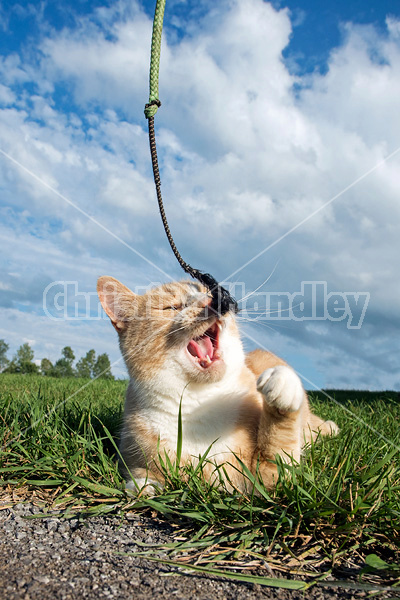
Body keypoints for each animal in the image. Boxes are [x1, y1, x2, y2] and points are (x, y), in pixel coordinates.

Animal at [97, 276, 338, 492]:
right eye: (172, 307)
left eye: (210, 293)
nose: (213, 302)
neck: (201, 402)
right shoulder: (131, 454)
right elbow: (141, 473)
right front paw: (143, 486)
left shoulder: (270, 476)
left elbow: (279, 443)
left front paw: (282, 384)